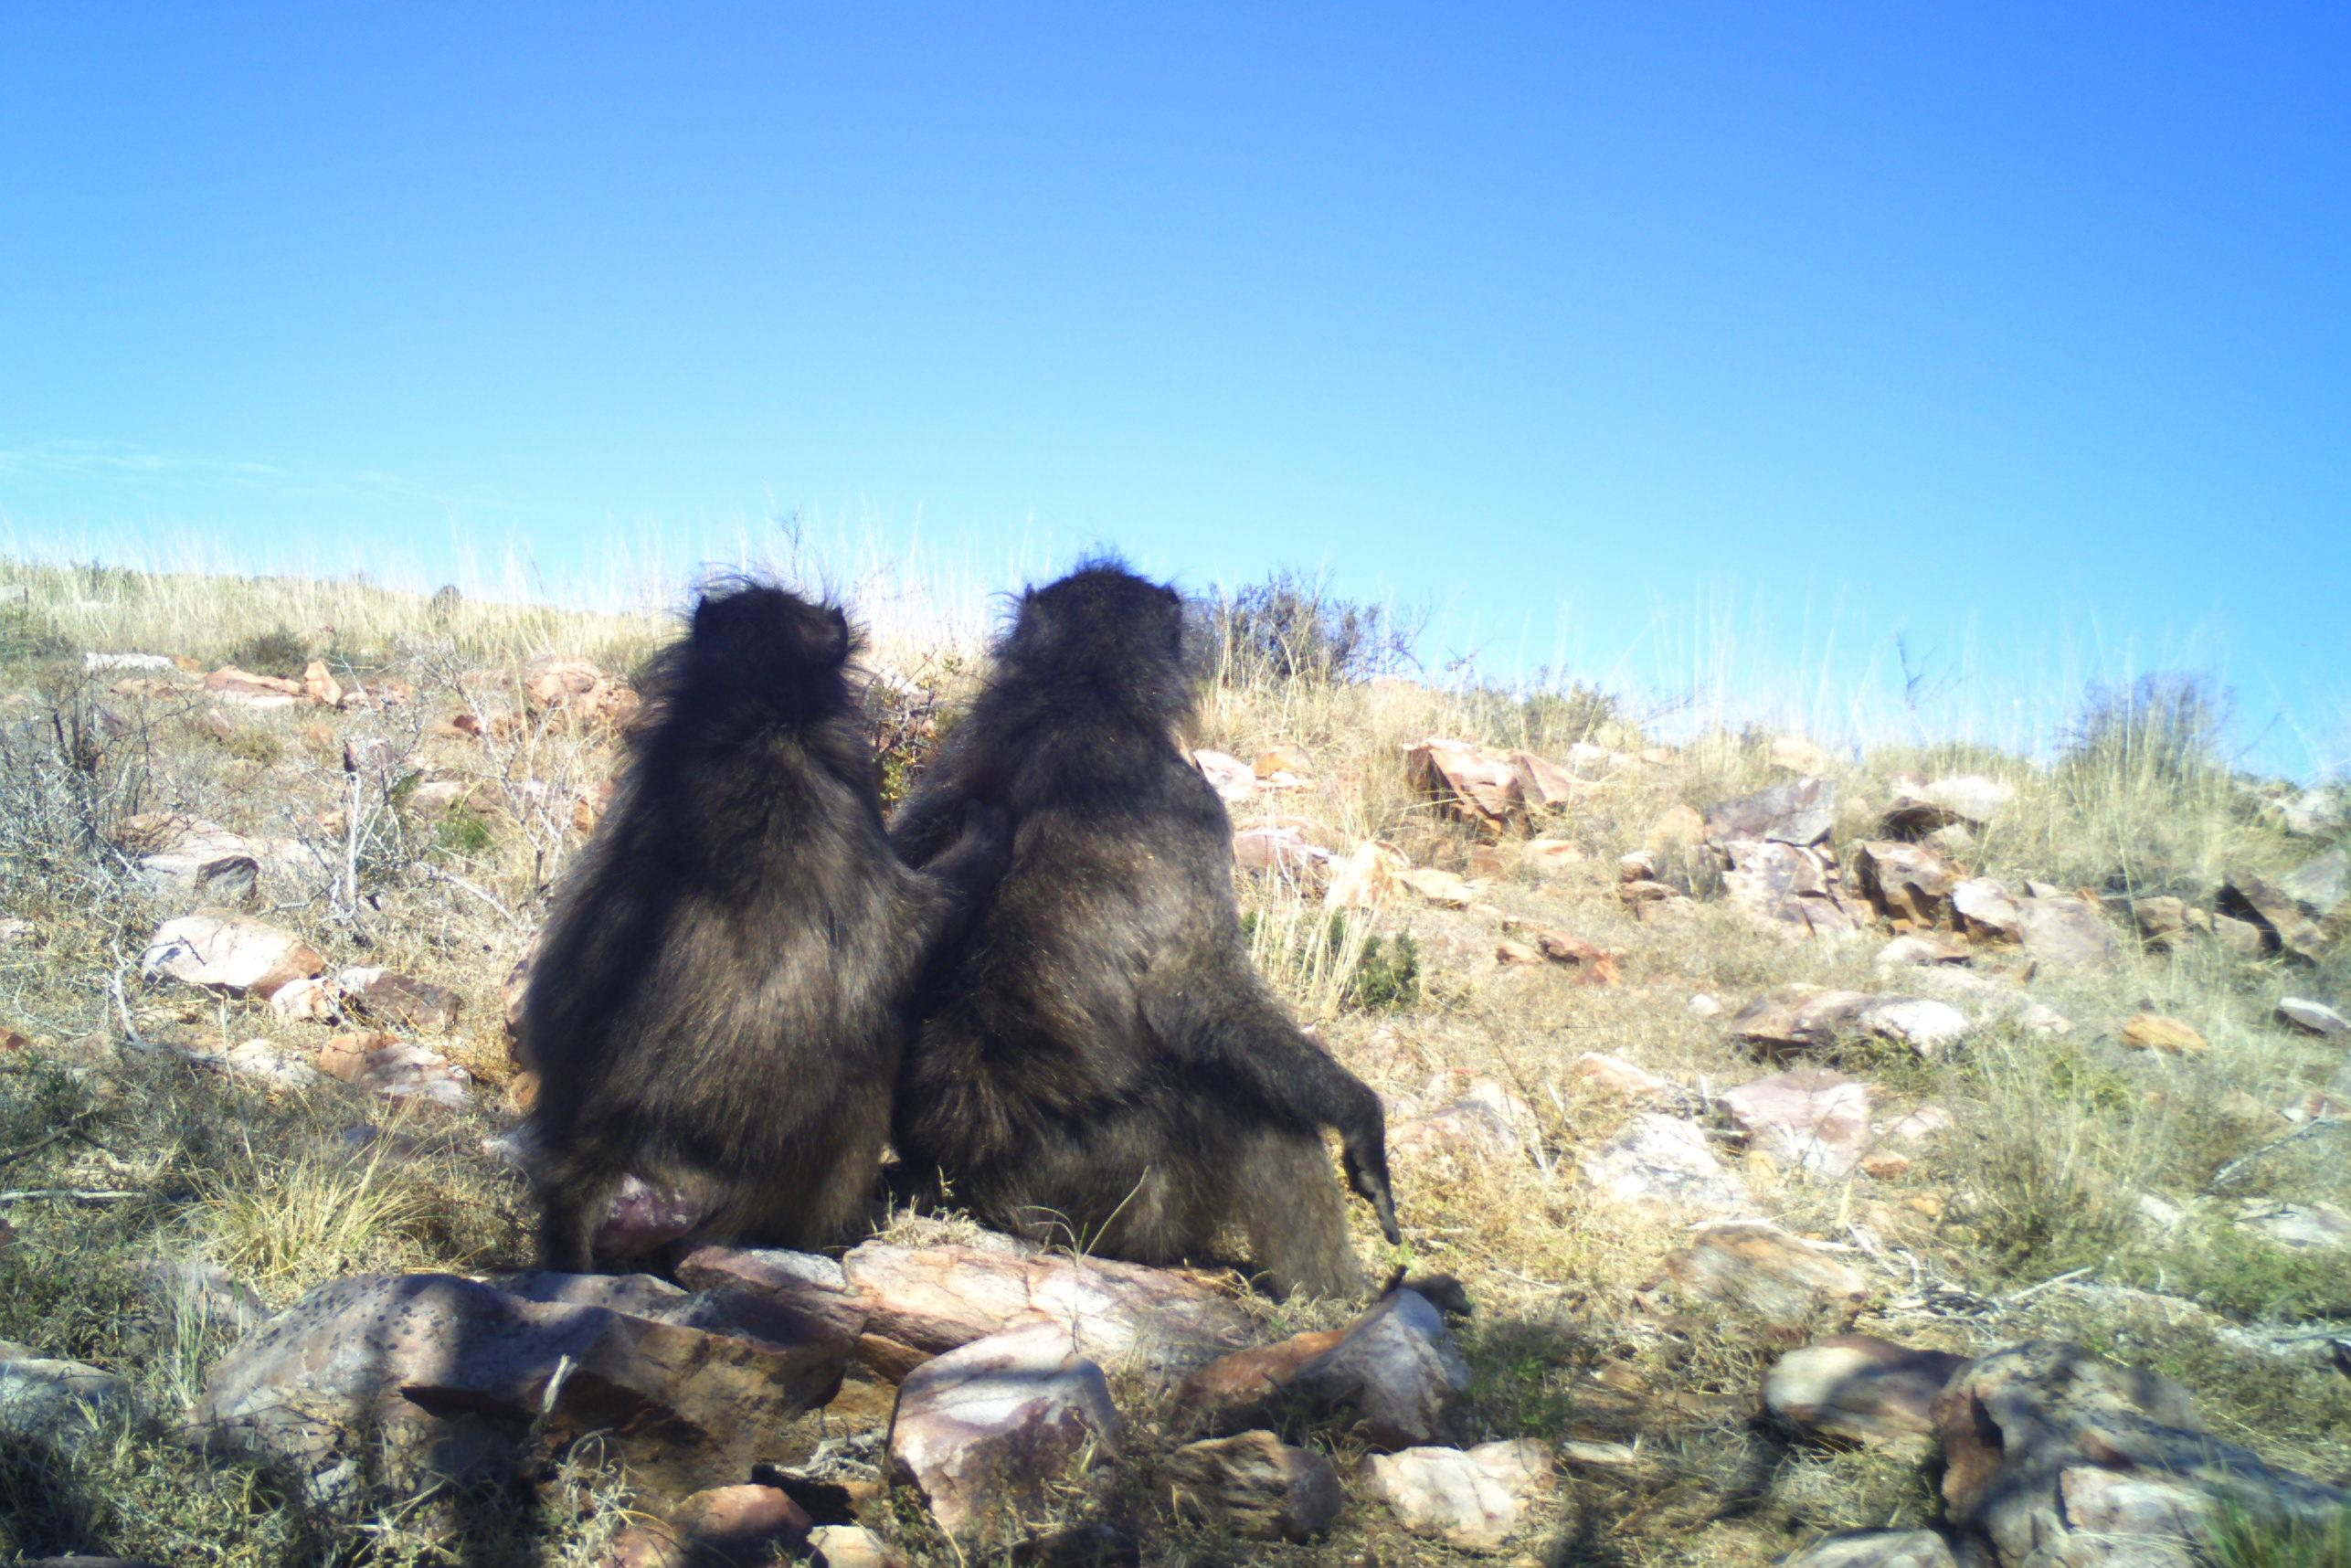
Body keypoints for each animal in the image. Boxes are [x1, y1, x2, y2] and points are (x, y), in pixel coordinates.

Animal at [886, 560, 1401, 1299]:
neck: (1081, 693)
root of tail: (973, 1188)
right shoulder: (1196, 803)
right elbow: (1194, 993)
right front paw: (1361, 1117)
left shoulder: (952, 760)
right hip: (1115, 1206)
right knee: (1257, 1109)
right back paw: (1356, 1300)